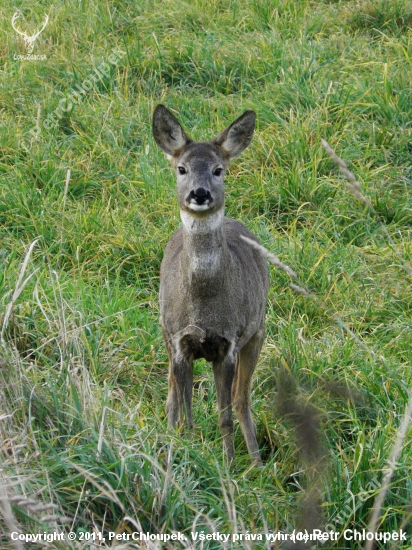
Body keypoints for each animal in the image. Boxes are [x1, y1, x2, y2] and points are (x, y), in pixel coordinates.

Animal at [153, 104, 268, 466]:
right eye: (182, 168)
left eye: (219, 170)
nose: (200, 193)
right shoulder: (179, 340)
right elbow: (185, 407)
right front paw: (182, 446)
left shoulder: (228, 343)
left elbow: (224, 414)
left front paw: (229, 465)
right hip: (163, 330)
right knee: (172, 393)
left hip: (258, 332)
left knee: (242, 398)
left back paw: (257, 463)